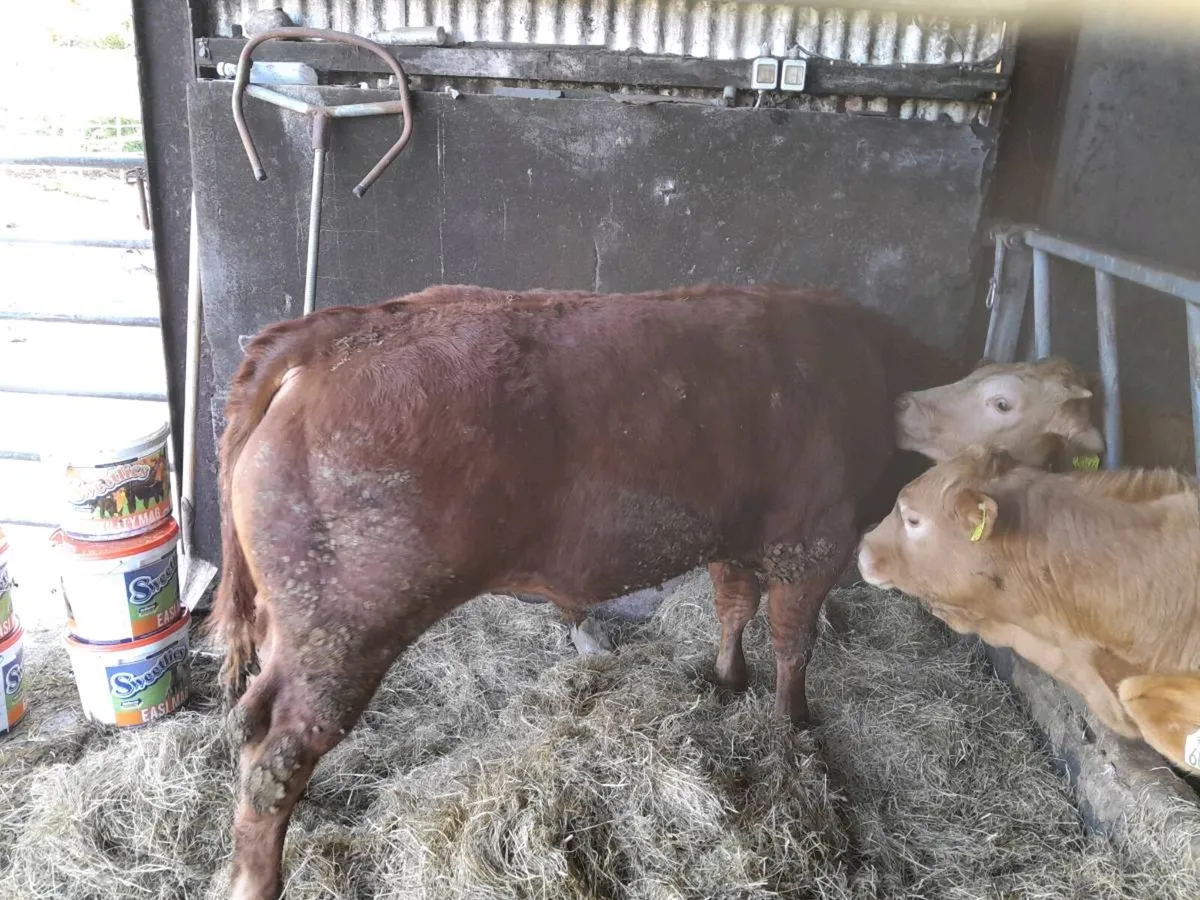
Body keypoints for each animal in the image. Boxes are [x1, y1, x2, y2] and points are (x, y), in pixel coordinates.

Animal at [213, 283, 980, 900]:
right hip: (345, 622)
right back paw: (257, 879)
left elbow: (734, 606)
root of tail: (338, 332)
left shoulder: (737, 538)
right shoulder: (813, 539)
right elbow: (795, 643)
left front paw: (729, 680)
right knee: (277, 750)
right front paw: (795, 726)